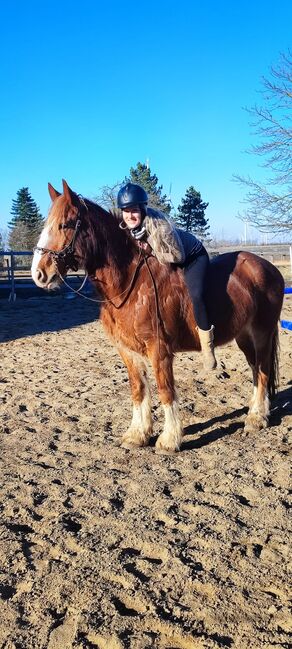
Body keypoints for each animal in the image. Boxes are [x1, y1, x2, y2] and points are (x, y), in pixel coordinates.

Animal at [30, 177, 284, 450]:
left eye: (65, 224)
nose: (39, 274)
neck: (130, 284)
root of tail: (268, 267)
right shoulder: (128, 350)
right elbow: (138, 389)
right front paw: (138, 434)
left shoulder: (159, 349)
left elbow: (165, 389)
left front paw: (169, 439)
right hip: (244, 336)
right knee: (256, 369)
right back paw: (255, 411)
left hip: (262, 333)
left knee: (263, 369)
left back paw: (257, 418)